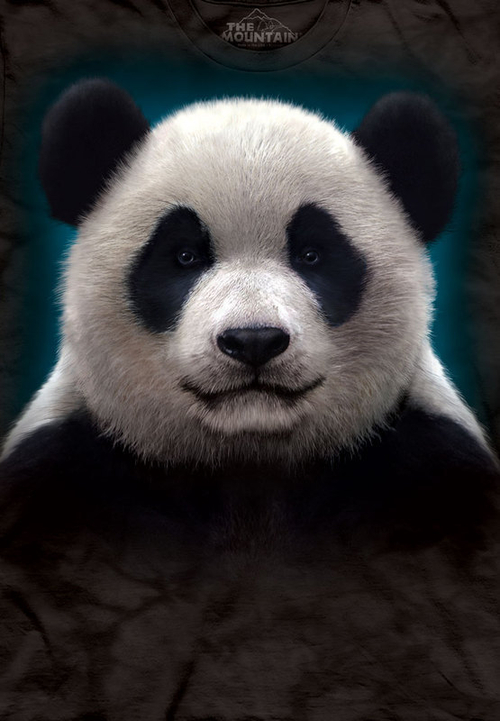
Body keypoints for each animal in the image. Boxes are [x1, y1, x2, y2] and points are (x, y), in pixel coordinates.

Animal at [1, 80, 500, 719]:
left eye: (312, 254)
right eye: (184, 256)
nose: (254, 340)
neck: (249, 463)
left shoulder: (426, 464)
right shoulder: (65, 472)